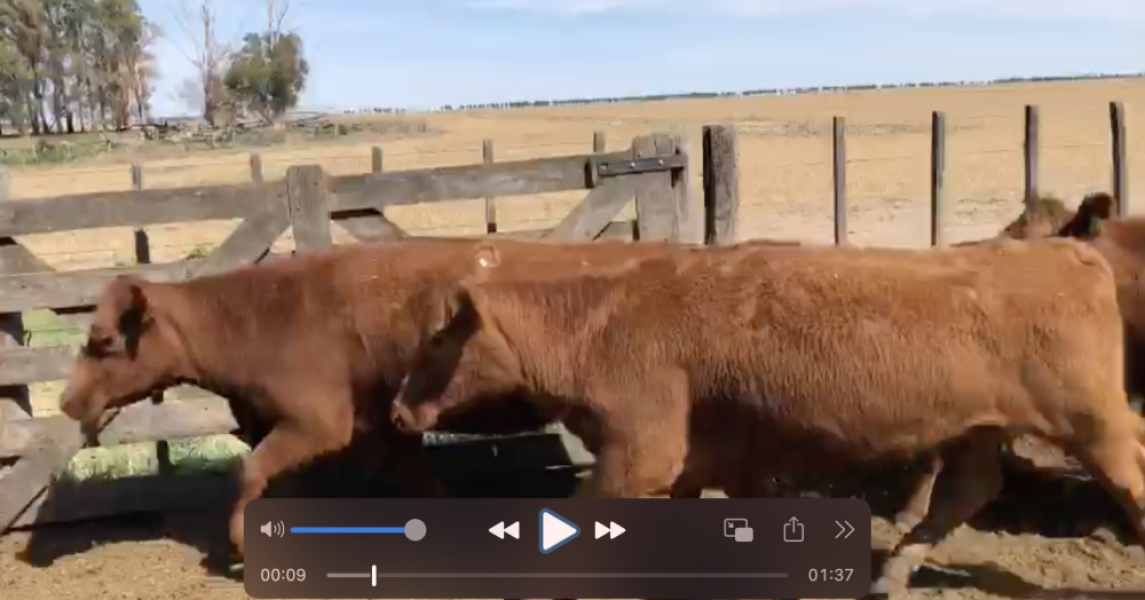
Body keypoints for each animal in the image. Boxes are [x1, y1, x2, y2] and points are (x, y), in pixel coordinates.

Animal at [58, 235, 682, 563]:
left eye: (105, 341)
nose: (65, 402)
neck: (261, 317)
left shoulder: (318, 422)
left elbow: (250, 471)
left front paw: (239, 545)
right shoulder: (383, 426)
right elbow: (415, 481)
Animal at [391, 238, 1145, 595]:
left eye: (438, 340)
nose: (398, 410)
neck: (599, 327)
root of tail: (1067, 249)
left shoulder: (643, 448)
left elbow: (583, 512)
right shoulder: (719, 459)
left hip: (1092, 421)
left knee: (1130, 470)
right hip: (980, 429)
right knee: (968, 491)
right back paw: (891, 573)